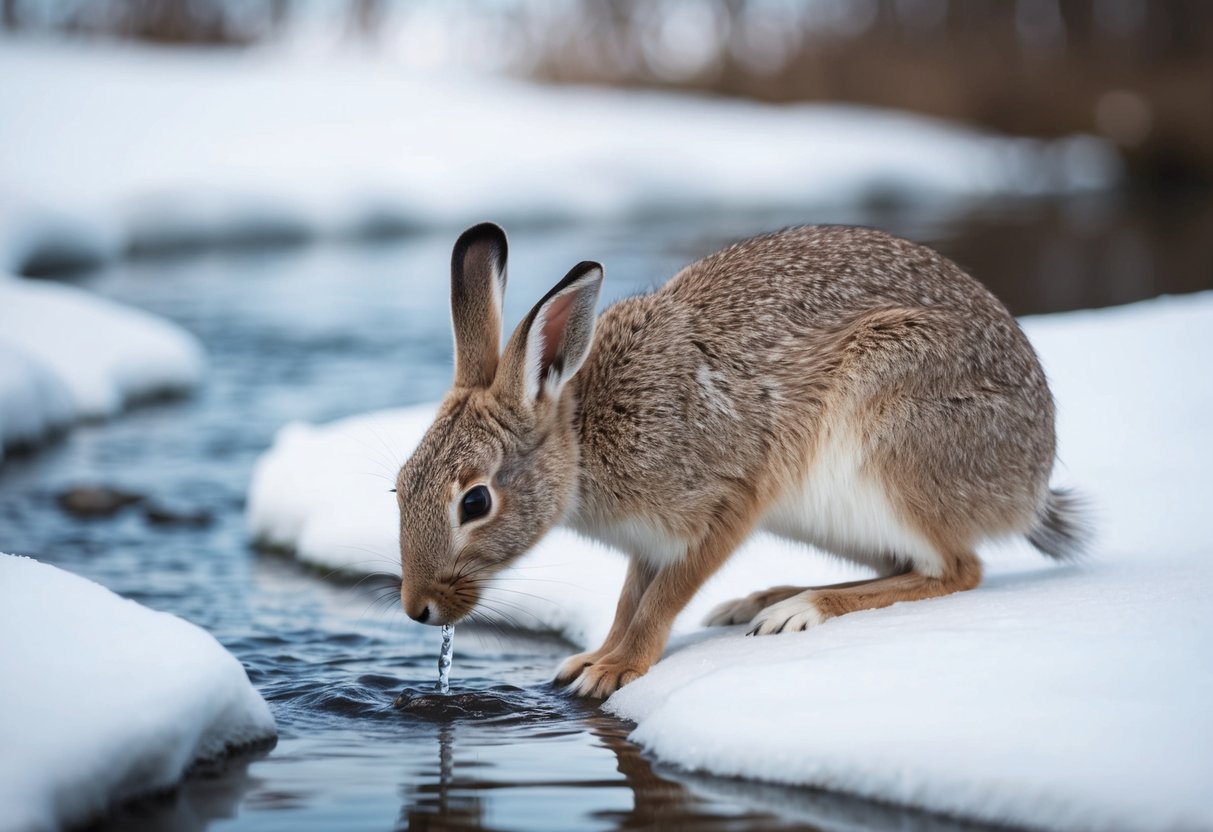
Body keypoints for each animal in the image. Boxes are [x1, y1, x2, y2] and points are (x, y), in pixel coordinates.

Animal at [395, 221, 1088, 699]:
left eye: (475, 501)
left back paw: (799, 610)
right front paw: (590, 660)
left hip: (892, 447)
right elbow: (629, 599)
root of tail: (1031, 483)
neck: (586, 438)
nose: (417, 609)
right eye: (400, 485)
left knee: (957, 571)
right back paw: (765, 601)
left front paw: (615, 671)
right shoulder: (649, 541)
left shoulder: (728, 500)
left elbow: (663, 599)